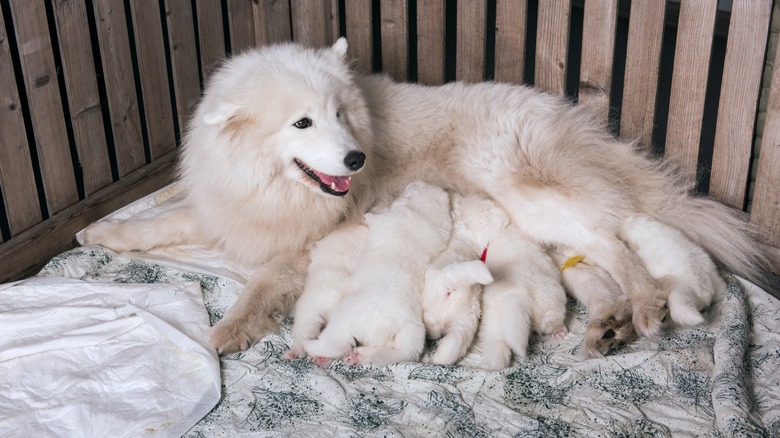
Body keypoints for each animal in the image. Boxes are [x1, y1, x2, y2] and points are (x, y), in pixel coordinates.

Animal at [80, 36, 768, 352]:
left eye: (339, 114)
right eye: (303, 123)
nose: (356, 159)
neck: (271, 186)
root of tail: (567, 119)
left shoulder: (300, 250)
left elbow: (256, 288)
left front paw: (227, 331)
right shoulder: (234, 212)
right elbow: (163, 221)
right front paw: (101, 232)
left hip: (533, 200)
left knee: (616, 238)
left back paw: (647, 307)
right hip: (543, 230)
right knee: (599, 256)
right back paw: (610, 324)